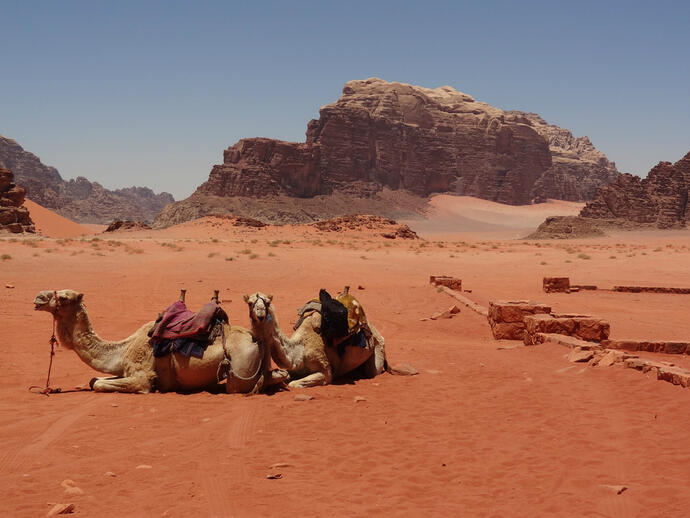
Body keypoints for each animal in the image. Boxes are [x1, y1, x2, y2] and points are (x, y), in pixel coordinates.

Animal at [33, 290, 268, 396]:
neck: (123, 350)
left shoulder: (141, 377)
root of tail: (257, 339)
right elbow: (93, 379)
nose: (38, 298)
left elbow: (99, 384)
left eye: (64, 297)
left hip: (240, 370)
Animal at [245, 292, 406, 390]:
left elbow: (294, 383)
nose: (260, 313)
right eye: (250, 303)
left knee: (372, 370)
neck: (299, 349)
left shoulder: (325, 370)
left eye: (267, 302)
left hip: (378, 350)